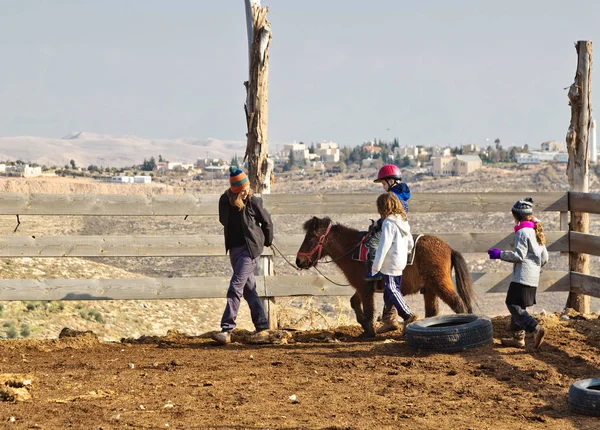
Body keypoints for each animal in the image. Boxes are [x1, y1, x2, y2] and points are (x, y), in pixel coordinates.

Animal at [296, 217, 474, 338]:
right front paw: (365, 325)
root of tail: (448, 248)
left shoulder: (365, 289)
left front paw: (369, 331)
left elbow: (369, 310)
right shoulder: (362, 287)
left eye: (311, 238)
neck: (352, 250)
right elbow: (354, 302)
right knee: (432, 312)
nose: (299, 261)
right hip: (430, 289)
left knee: (458, 304)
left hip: (440, 283)